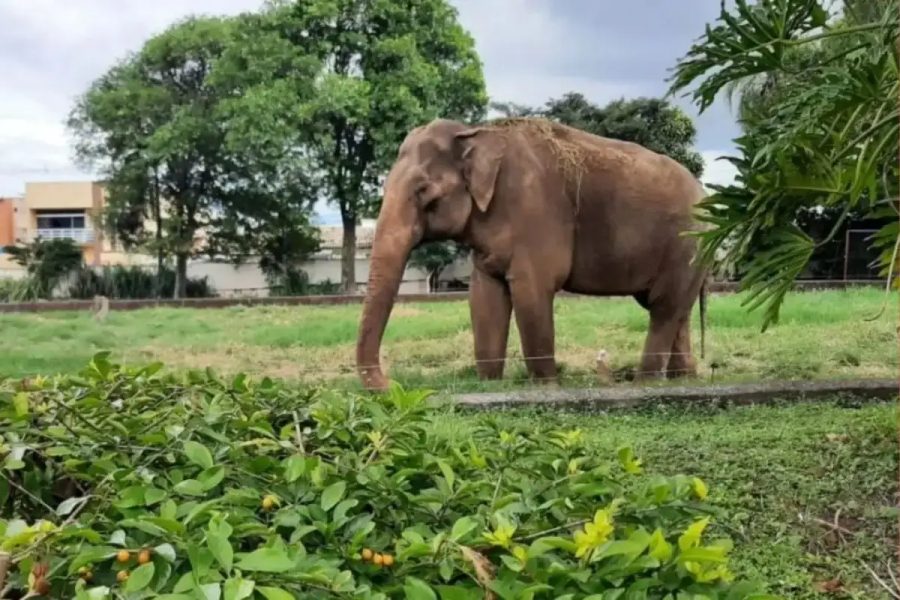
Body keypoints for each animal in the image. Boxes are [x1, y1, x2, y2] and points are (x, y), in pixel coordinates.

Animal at [356, 117, 708, 391]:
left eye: (423, 192)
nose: (393, 385)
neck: (476, 132)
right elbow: (484, 298)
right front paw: (489, 384)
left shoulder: (535, 212)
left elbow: (532, 292)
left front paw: (547, 387)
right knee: (675, 309)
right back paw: (682, 379)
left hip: (686, 245)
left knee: (663, 308)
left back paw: (645, 382)